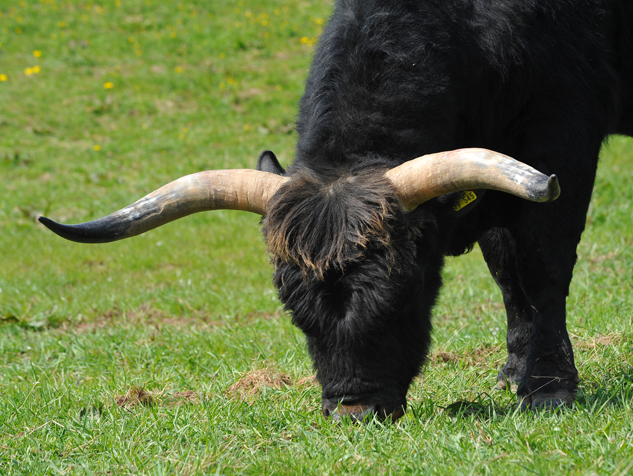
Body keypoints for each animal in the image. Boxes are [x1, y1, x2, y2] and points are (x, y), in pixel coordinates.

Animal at [40, 0, 632, 422]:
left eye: (404, 293)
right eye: (295, 310)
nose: (353, 410)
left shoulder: (559, 142)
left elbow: (540, 266)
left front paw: (548, 388)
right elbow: (507, 269)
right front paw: (513, 371)